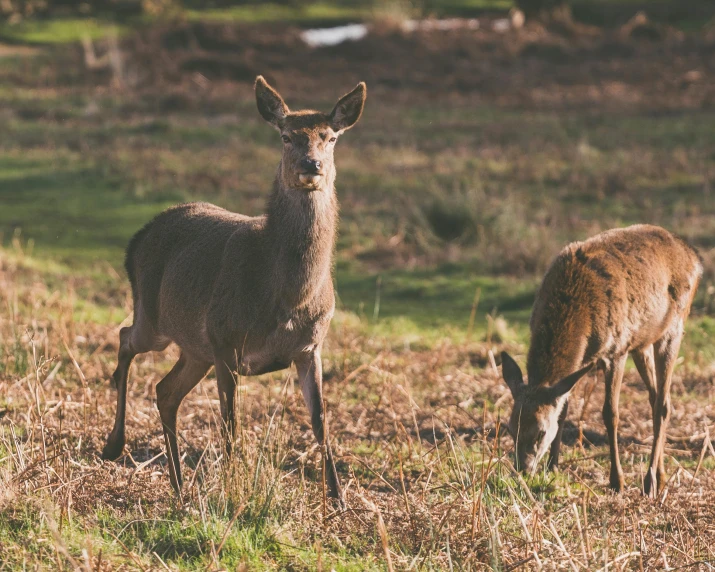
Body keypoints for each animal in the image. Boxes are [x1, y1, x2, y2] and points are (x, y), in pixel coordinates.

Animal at [100, 75, 366, 504]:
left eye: (330, 138)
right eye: (286, 137)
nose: (312, 166)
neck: (288, 297)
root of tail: (137, 238)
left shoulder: (310, 347)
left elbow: (321, 421)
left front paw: (339, 500)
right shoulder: (226, 340)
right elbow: (230, 423)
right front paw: (233, 488)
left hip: (196, 347)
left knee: (165, 391)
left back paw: (179, 487)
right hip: (155, 320)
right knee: (125, 339)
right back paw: (113, 445)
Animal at [500, 225, 704, 496]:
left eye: (541, 432)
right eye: (511, 427)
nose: (522, 470)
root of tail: (695, 257)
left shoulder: (616, 350)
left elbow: (610, 414)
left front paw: (617, 481)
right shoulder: (580, 366)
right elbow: (563, 410)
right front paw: (553, 467)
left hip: (674, 327)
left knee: (663, 404)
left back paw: (649, 481)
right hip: (641, 343)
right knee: (657, 397)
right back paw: (660, 476)